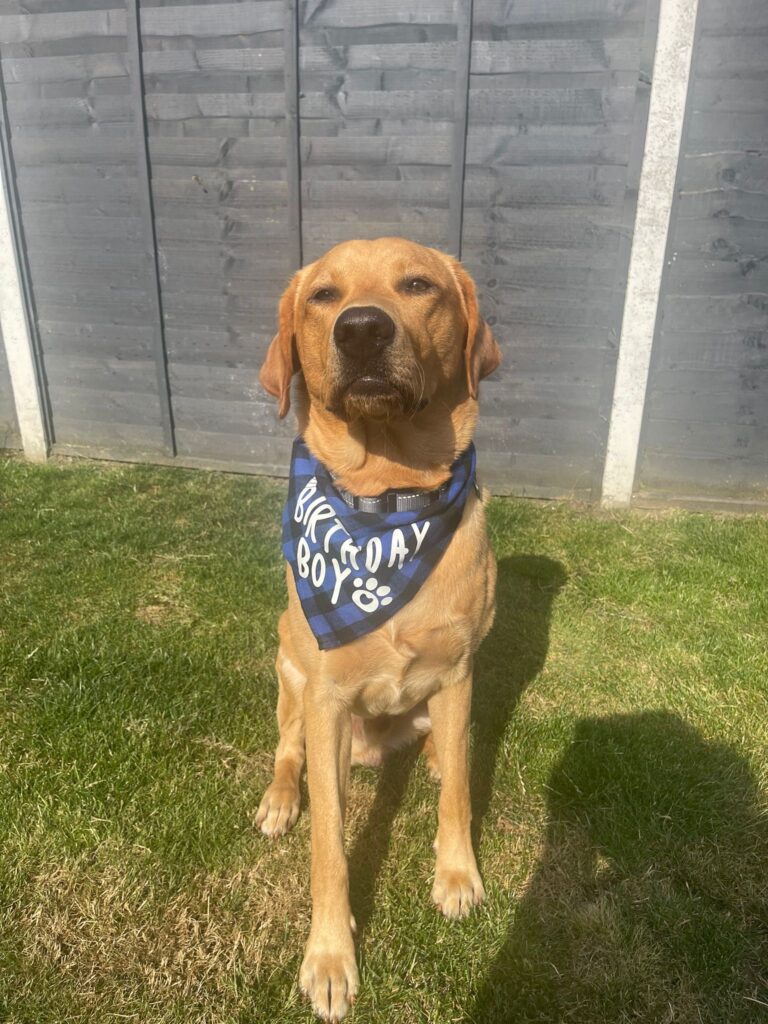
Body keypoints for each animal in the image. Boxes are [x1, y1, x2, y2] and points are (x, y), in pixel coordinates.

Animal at [256, 237, 501, 1015]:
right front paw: (330, 956)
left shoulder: (458, 672)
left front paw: (456, 875)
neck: (385, 503)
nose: (362, 330)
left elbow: (457, 794)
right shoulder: (327, 695)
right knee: (290, 750)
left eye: (418, 285)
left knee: (443, 750)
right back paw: (281, 799)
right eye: (322, 295)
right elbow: (330, 849)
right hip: (288, 672)